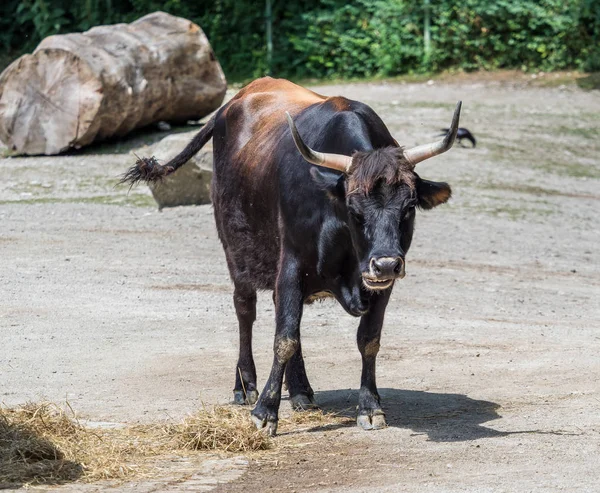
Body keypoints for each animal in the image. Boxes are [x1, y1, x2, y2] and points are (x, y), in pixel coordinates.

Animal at [120, 77, 460, 434]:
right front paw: (265, 412)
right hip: (237, 251)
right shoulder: (292, 264)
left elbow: (367, 339)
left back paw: (300, 391)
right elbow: (284, 339)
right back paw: (246, 386)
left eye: (409, 208)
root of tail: (233, 103)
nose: (386, 265)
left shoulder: (378, 285)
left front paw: (369, 407)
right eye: (354, 209)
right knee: (246, 310)